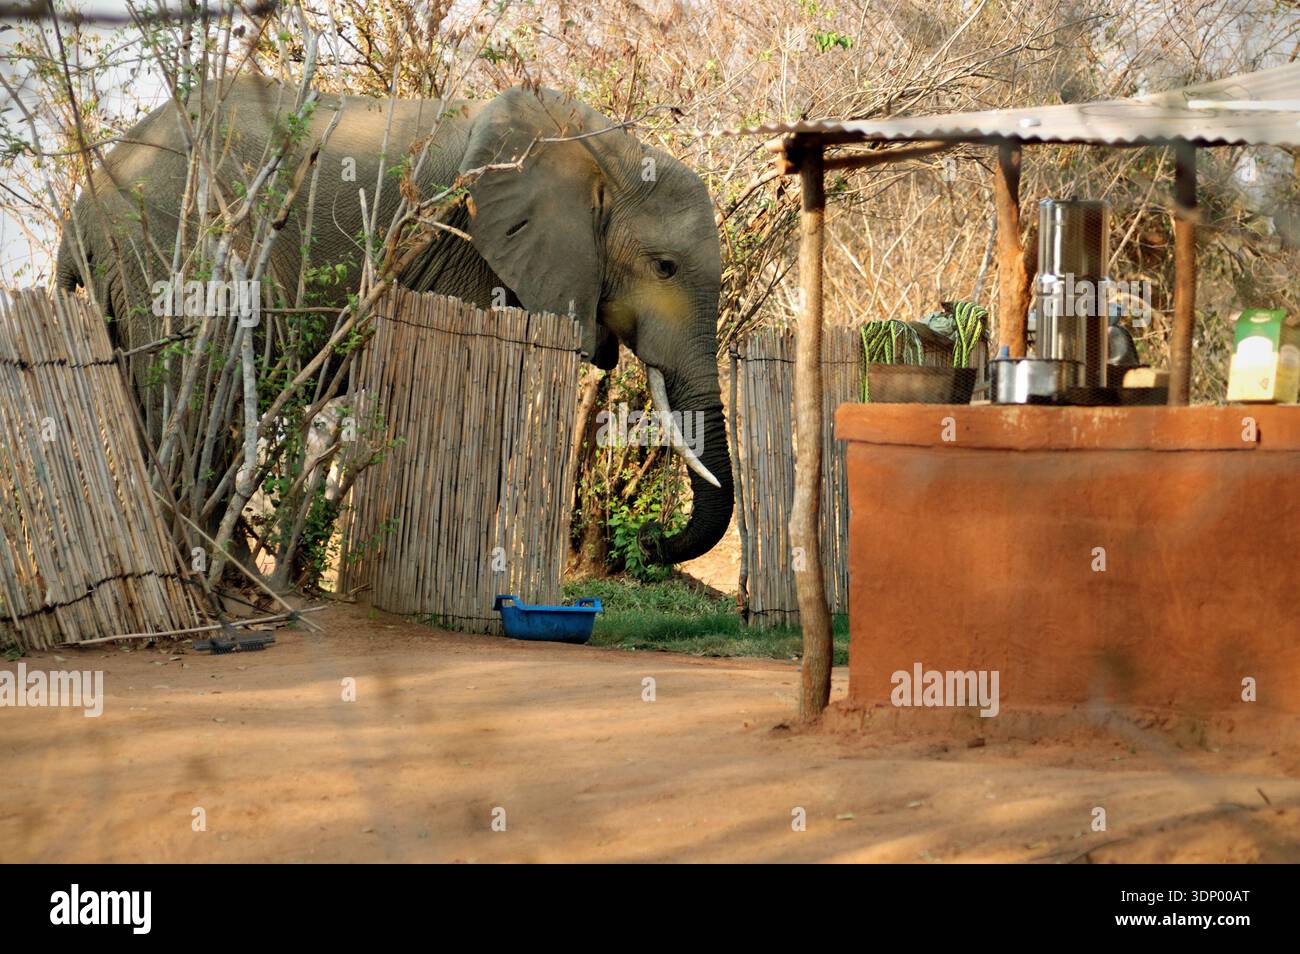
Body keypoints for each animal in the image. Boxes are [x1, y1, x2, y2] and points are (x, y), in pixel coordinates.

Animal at [56, 75, 733, 566]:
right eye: (666, 267)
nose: (640, 540)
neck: (604, 151)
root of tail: (81, 212)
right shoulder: (467, 247)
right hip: (172, 254)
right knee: (192, 402)